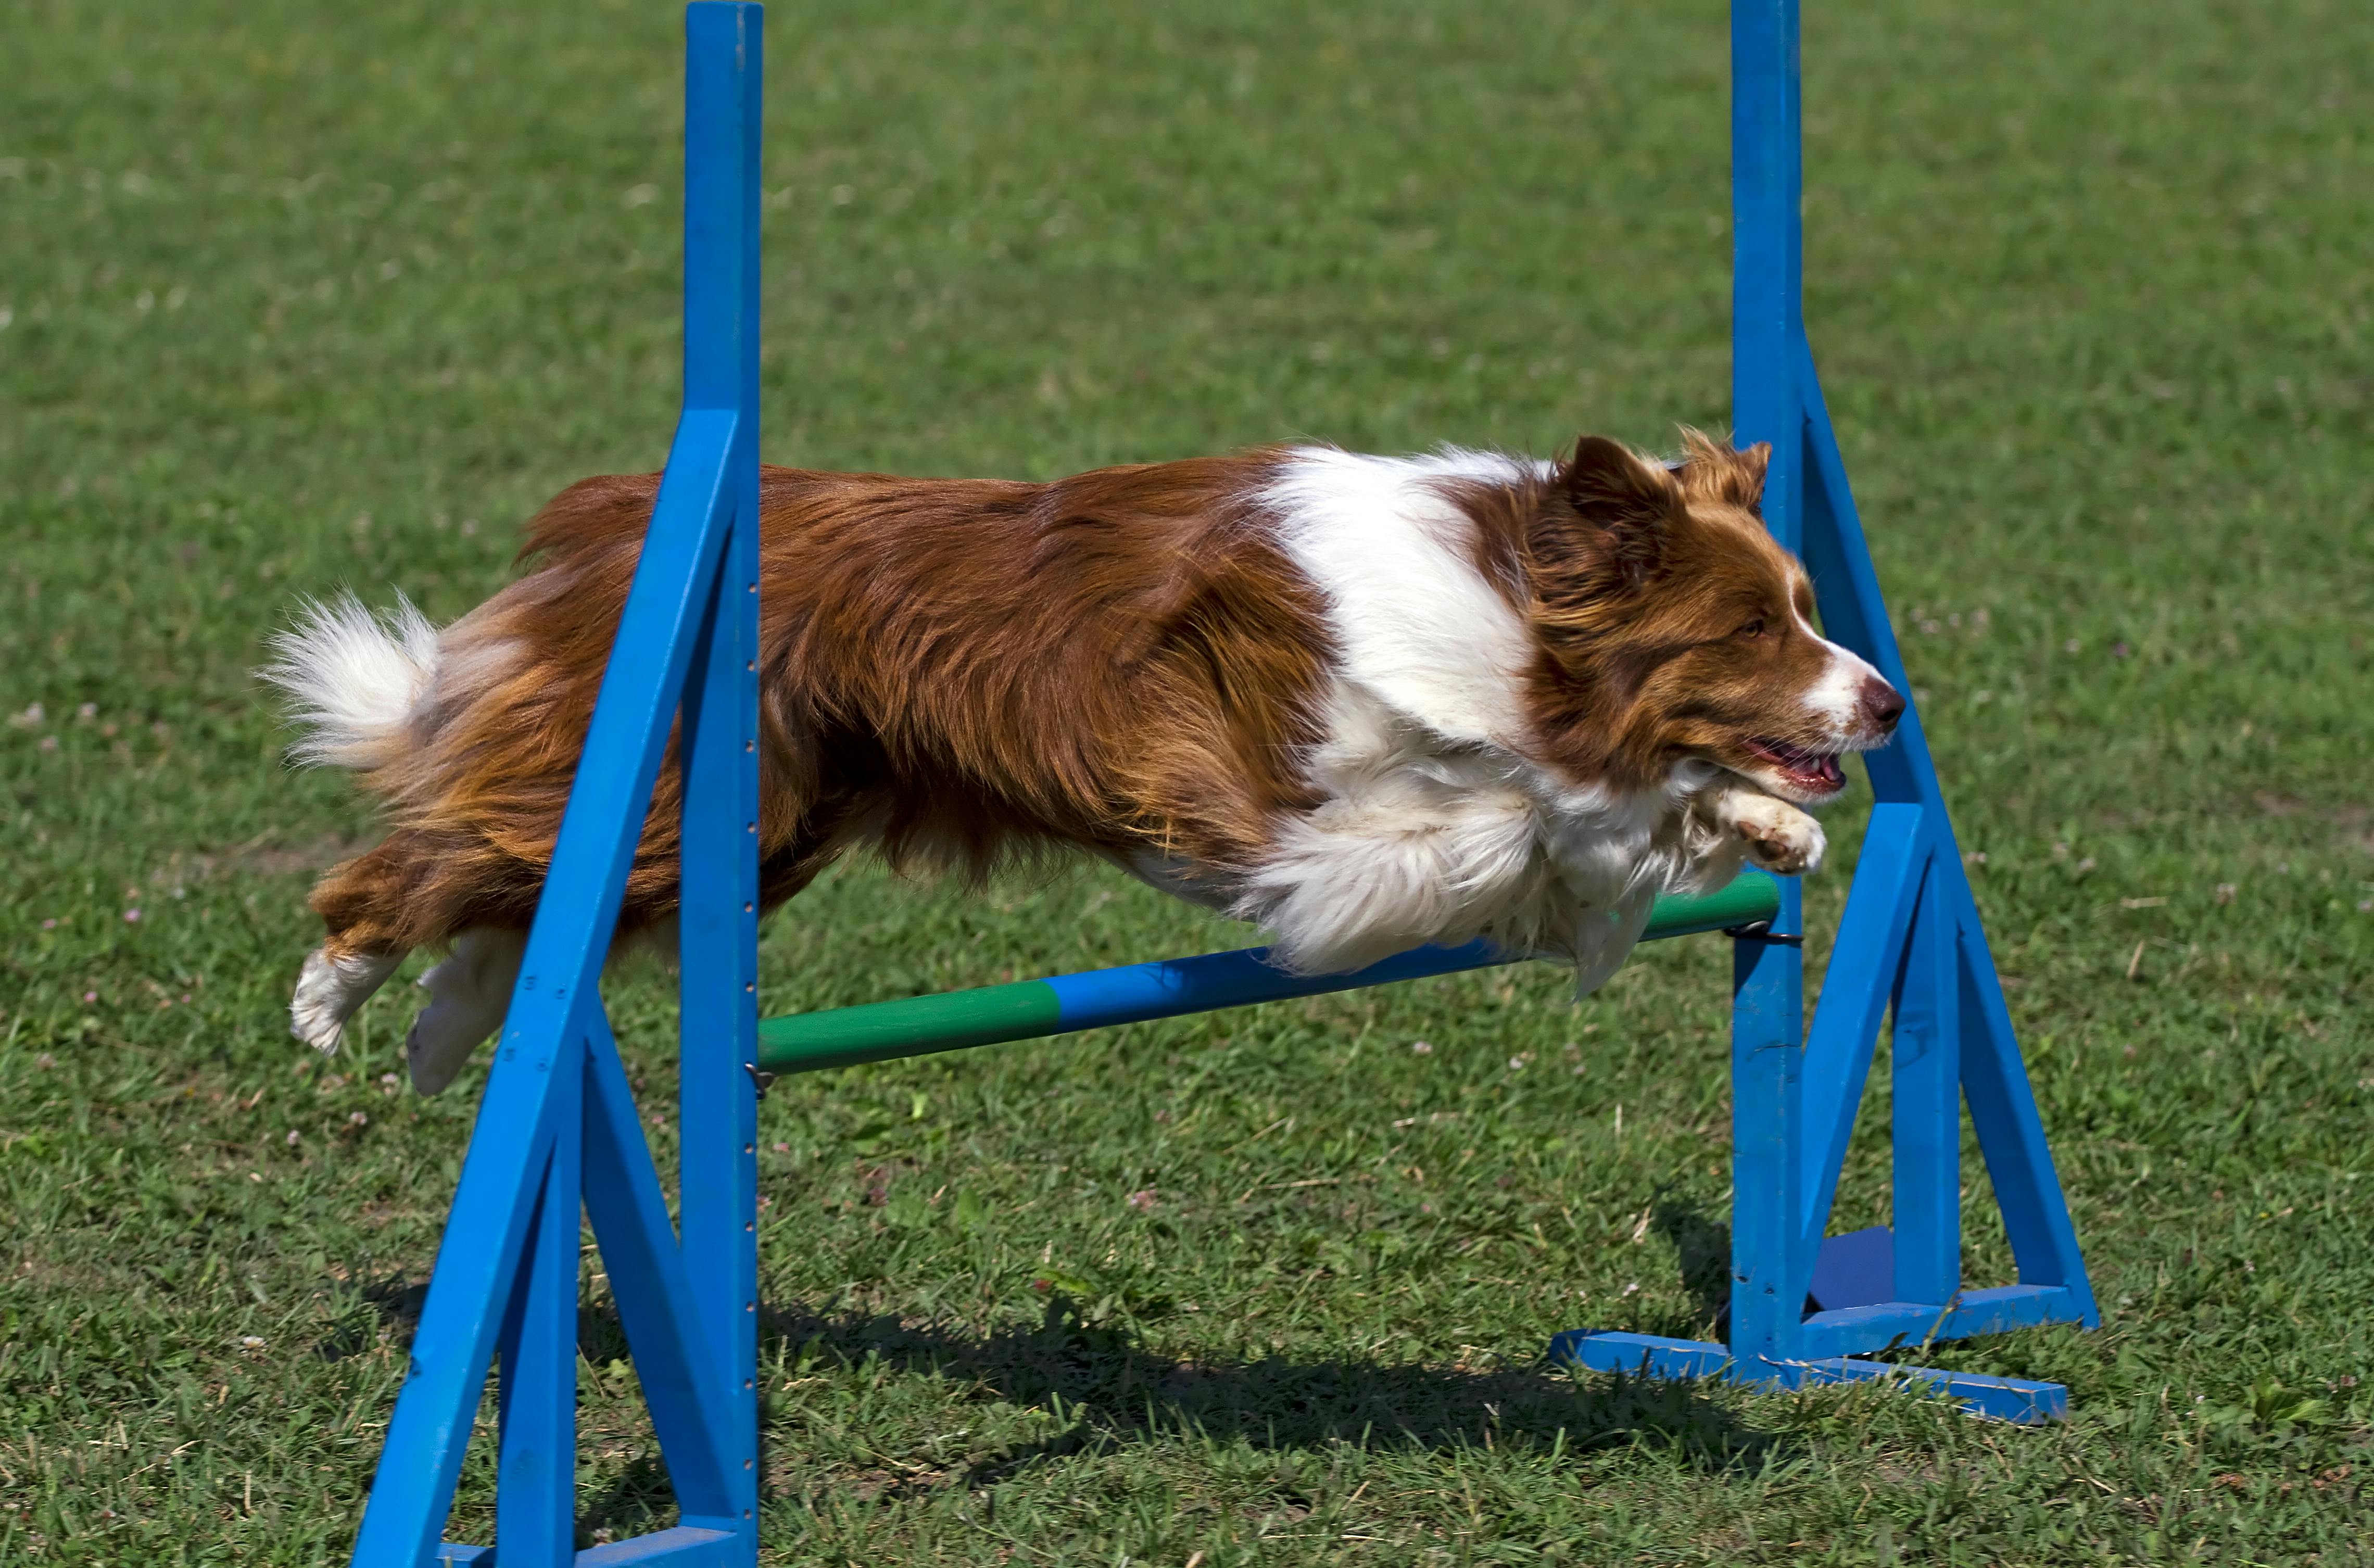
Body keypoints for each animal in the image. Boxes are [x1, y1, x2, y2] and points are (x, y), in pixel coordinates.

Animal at [269, 427, 1899, 1086]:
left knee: (523, 890)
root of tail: (621, 521)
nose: (1887, 703)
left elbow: (1589, 821)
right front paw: (1648, 825)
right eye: (1748, 625)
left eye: (1809, 606)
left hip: (755, 823)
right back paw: (336, 998)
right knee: (425, 862)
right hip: (682, 791)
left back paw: (444, 1032)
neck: (1505, 616)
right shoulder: (1253, 804)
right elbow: (1502, 829)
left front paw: (1762, 826)